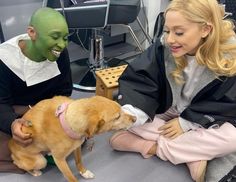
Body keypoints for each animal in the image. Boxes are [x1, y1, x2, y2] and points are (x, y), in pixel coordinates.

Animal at [8, 96, 136, 181]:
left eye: (121, 109)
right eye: (117, 117)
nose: (135, 119)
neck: (66, 120)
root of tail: (11, 146)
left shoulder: (77, 147)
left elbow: (79, 161)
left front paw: (84, 173)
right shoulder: (59, 159)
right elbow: (70, 177)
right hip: (40, 161)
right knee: (18, 164)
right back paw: (34, 172)